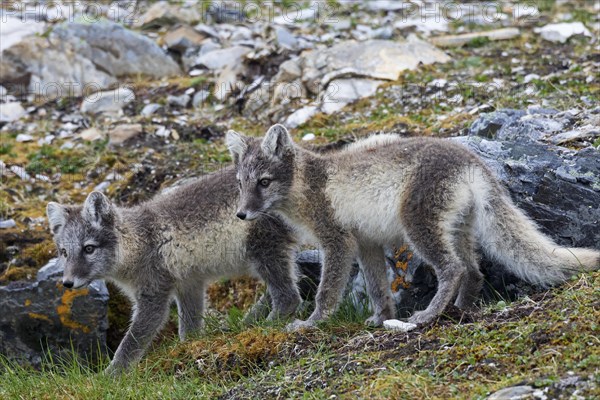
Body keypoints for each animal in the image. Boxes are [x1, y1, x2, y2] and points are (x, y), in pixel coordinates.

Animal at [45, 166, 300, 372]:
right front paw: (189, 348)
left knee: (289, 297)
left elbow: (130, 344)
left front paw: (110, 376)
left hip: (264, 251)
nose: (67, 283)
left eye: (89, 249)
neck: (139, 241)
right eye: (64, 252)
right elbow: (190, 327)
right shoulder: (189, 285)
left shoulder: (153, 297)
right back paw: (248, 322)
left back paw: (263, 326)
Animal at [226, 125, 600, 332]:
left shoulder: (337, 242)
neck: (308, 186)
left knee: (452, 269)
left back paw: (427, 315)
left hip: (418, 227)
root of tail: (472, 162)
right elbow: (377, 287)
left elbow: (325, 291)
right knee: (473, 271)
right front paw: (380, 319)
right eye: (241, 183)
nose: (241, 215)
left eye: (264, 182)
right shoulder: (366, 244)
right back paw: (461, 310)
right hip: (458, 230)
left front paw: (310, 323)